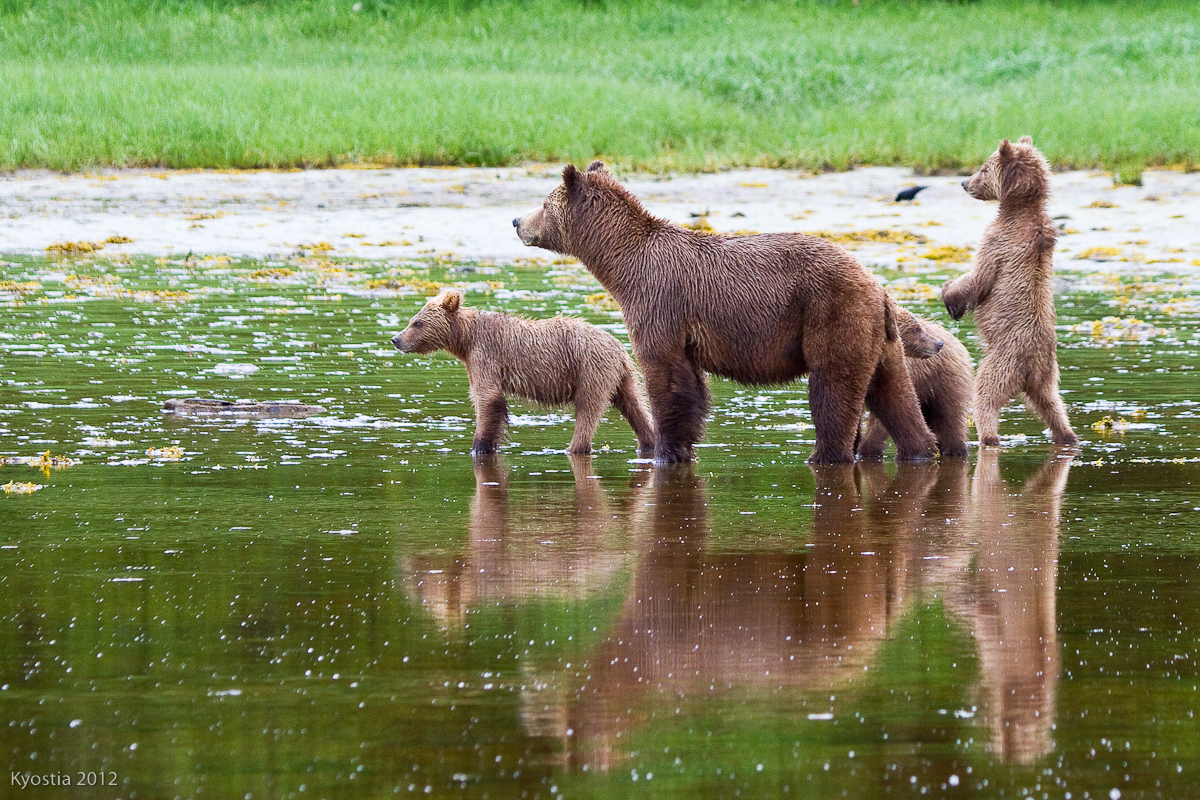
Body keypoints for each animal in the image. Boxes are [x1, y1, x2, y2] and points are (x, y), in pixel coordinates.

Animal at [511, 163, 931, 462]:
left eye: (544, 204)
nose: (516, 221)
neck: (622, 267)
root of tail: (878, 289)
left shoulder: (659, 300)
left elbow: (666, 376)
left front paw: (664, 451)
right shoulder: (681, 323)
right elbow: (692, 386)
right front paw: (682, 448)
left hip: (831, 313)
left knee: (833, 389)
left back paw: (824, 455)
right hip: (879, 337)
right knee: (895, 395)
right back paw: (921, 449)